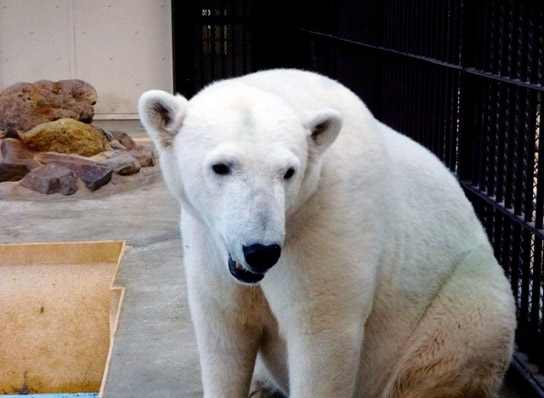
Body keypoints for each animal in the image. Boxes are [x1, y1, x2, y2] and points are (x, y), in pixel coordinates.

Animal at [138, 70, 516, 396]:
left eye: (288, 172)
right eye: (221, 167)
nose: (261, 251)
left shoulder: (327, 221)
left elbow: (321, 334)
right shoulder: (207, 238)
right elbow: (225, 325)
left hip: (456, 310)